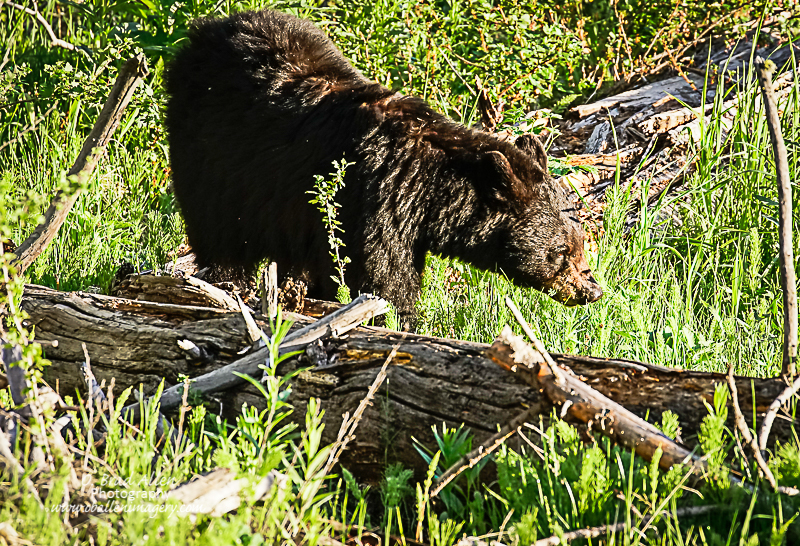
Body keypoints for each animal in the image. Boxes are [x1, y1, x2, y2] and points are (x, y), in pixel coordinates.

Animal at [162, 9, 600, 324]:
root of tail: (202, 32)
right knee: (219, 232)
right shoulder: (375, 199)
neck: (428, 190)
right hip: (212, 157)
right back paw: (228, 284)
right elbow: (382, 277)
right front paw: (396, 319)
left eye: (579, 241)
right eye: (561, 251)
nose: (591, 289)